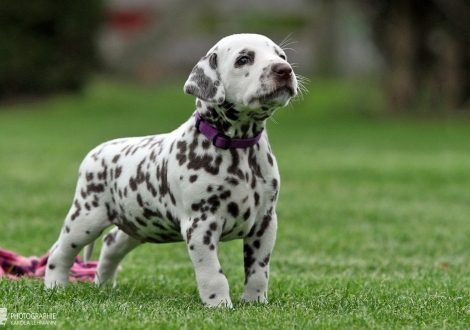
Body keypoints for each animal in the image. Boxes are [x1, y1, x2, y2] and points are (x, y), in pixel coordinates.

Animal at [45, 33, 302, 306]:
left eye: (281, 56)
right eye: (244, 59)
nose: (284, 70)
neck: (238, 147)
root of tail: (96, 151)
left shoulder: (265, 222)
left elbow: (258, 271)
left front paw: (255, 302)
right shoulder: (200, 225)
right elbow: (213, 273)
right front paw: (219, 304)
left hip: (137, 223)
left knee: (111, 242)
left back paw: (104, 286)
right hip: (85, 219)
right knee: (59, 252)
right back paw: (55, 287)